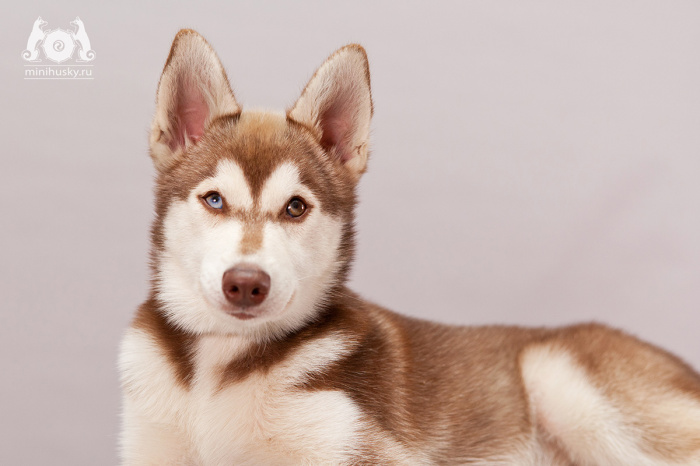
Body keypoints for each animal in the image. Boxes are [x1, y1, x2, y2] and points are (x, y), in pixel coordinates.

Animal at [120, 31, 700, 464]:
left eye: (296, 207)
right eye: (214, 199)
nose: (246, 283)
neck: (220, 366)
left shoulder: (373, 450)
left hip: (556, 373)